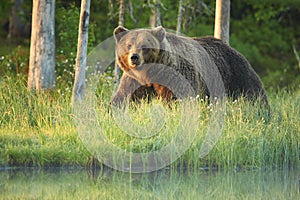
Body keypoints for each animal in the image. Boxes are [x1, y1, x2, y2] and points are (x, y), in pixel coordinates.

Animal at [110, 25, 270, 109]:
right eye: (129, 45)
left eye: (144, 46)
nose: (134, 57)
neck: (151, 73)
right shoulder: (135, 80)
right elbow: (124, 98)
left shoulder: (177, 76)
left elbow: (178, 100)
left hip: (236, 73)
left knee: (253, 94)